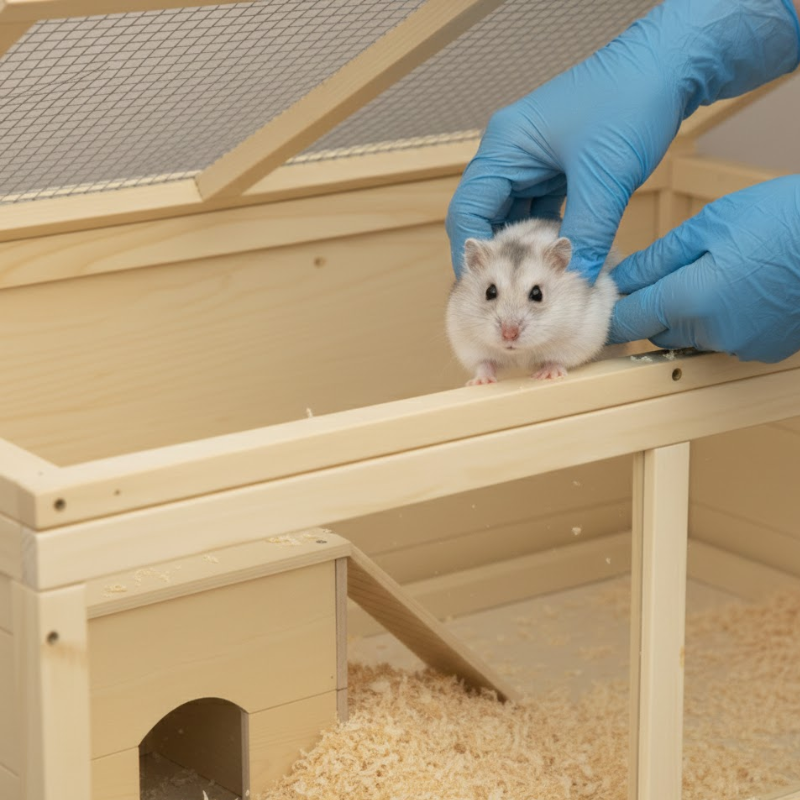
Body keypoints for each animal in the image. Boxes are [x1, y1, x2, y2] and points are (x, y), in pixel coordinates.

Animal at [445, 218, 619, 385]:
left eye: (537, 294)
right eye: (490, 292)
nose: (509, 334)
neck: (521, 352)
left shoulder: (581, 338)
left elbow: (556, 359)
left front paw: (547, 375)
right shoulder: (468, 344)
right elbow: (483, 364)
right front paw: (480, 382)